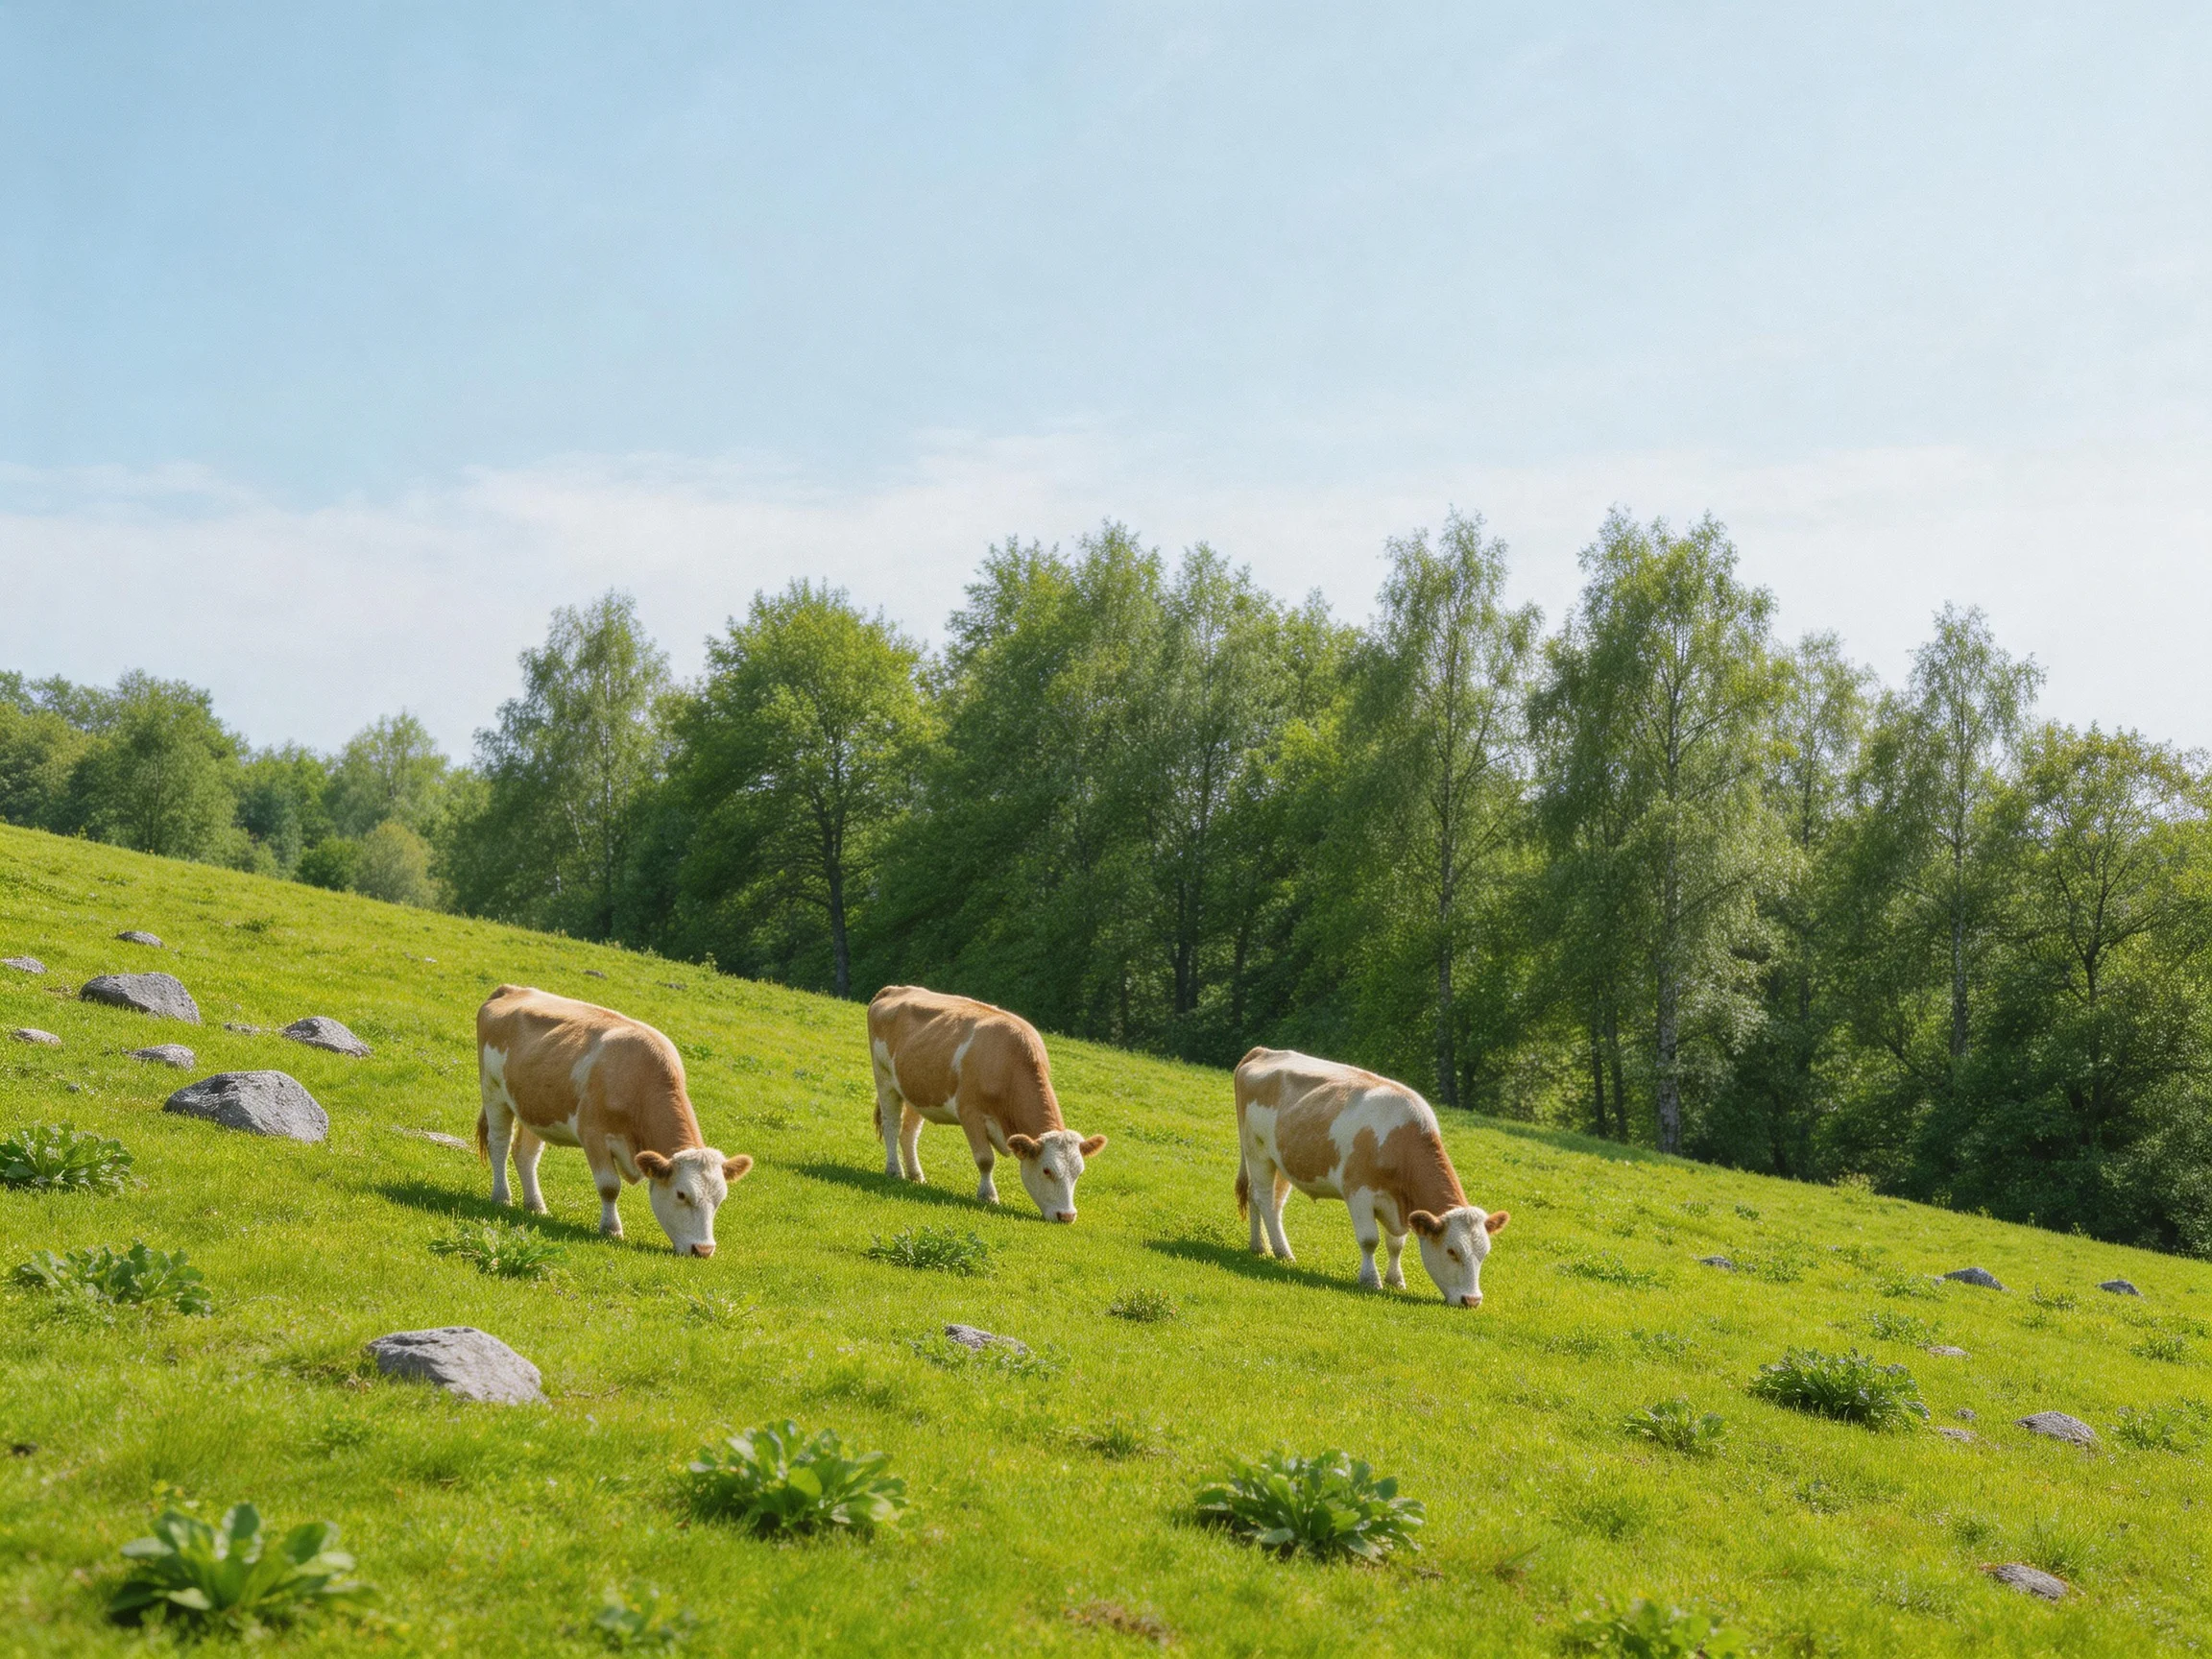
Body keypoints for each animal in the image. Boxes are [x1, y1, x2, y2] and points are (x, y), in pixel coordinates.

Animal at [474, 985, 752, 1257]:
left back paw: (535, 1205)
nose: (703, 1250)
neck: (639, 1081)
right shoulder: (593, 1134)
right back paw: (501, 1196)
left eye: (720, 1199)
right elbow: (609, 1186)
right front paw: (611, 1229)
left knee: (526, 1155)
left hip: (535, 1106)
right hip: (493, 1091)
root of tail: (512, 989)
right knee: (499, 1143)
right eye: (682, 1194)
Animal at [867, 985, 1106, 1223]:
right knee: (891, 1126)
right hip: (884, 1079)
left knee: (909, 1133)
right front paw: (988, 1195)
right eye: (1047, 1170)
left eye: (1079, 1172)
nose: (1067, 1215)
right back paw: (894, 1170)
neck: (1009, 1065)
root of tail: (895, 989)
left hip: (917, 1091)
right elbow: (985, 1159)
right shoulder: (969, 1112)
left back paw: (916, 1175)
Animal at [1233, 1046, 1508, 1307]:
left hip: (1281, 1161)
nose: (1472, 1300)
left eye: (1484, 1254)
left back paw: (1260, 1247)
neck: (1400, 1142)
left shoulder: (1400, 1205)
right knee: (1264, 1199)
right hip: (1257, 1151)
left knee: (1266, 1201)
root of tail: (1264, 1052)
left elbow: (1396, 1244)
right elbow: (1369, 1240)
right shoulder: (1359, 1193)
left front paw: (1396, 1280)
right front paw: (1370, 1280)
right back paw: (1282, 1252)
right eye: (1452, 1251)